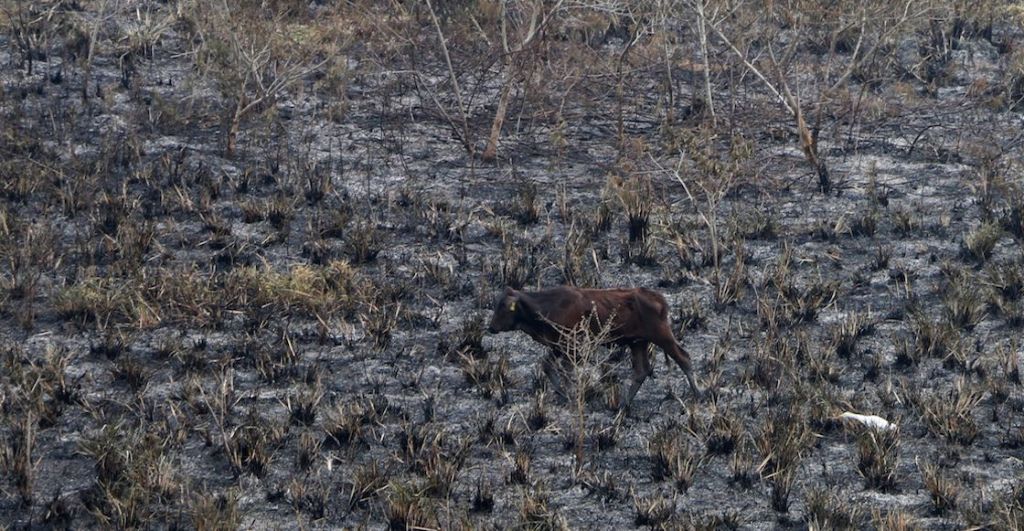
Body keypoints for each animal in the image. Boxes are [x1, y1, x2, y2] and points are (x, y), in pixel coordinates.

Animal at [483, 286, 700, 407]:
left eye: (504, 307)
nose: (491, 327)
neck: (548, 304)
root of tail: (656, 297)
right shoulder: (558, 346)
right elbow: (548, 366)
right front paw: (562, 393)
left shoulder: (572, 347)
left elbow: (566, 371)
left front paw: (570, 394)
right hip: (638, 343)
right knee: (641, 370)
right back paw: (624, 404)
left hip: (662, 337)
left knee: (683, 358)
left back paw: (698, 393)